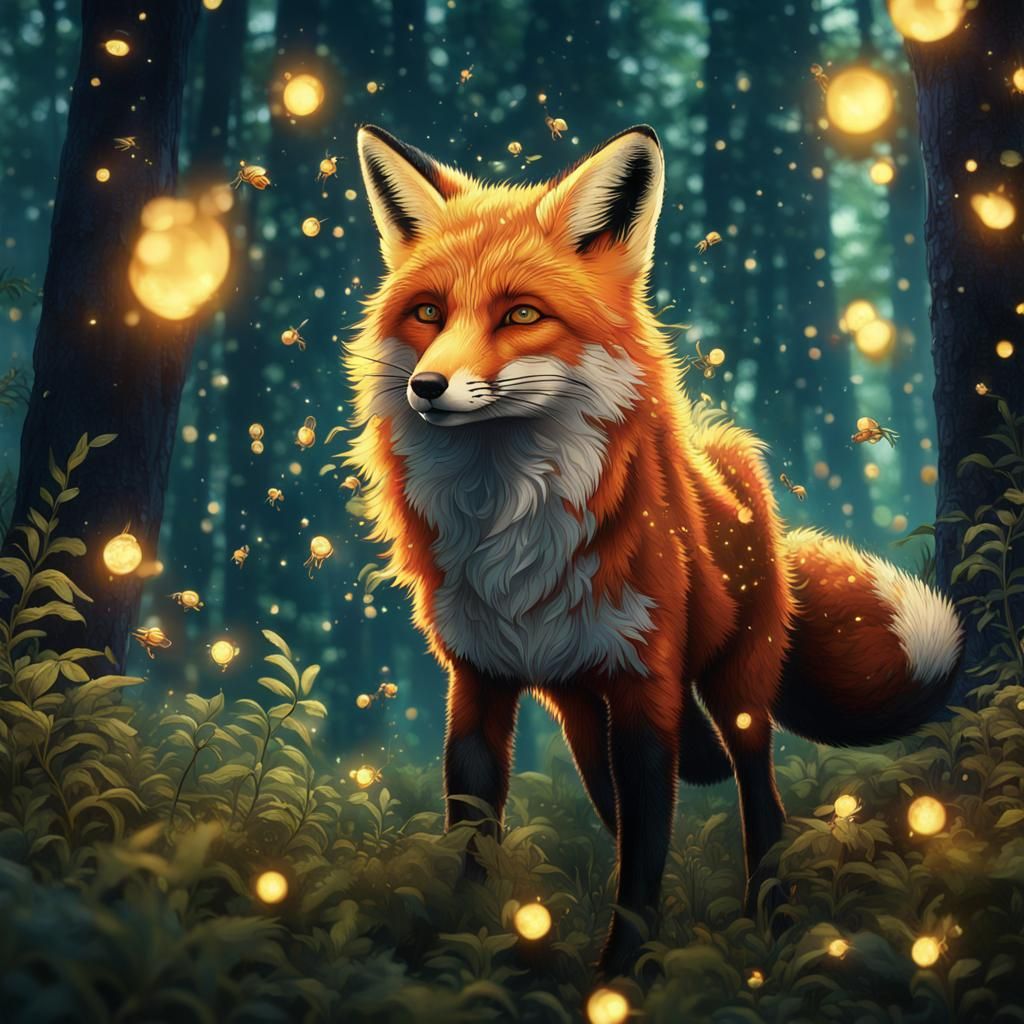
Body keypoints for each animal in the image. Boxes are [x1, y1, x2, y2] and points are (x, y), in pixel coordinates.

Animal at [345, 123, 964, 977]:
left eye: (522, 314)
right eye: (428, 313)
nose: (427, 387)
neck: (513, 531)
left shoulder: (645, 685)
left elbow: (643, 857)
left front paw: (620, 978)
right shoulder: (478, 681)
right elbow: (476, 829)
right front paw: (463, 949)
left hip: (734, 685)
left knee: (759, 796)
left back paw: (770, 921)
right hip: (578, 696)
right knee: (615, 778)